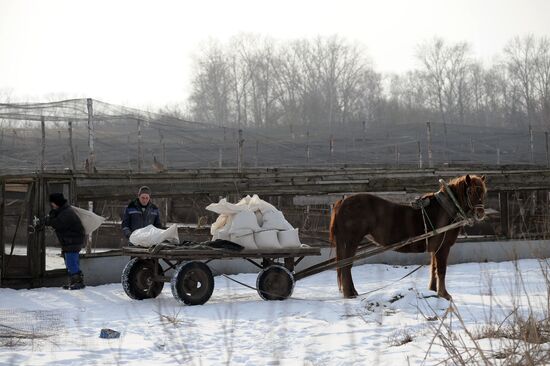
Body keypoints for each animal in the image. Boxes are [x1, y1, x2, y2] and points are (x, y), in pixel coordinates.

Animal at [328, 175, 488, 300]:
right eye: (471, 191)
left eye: (484, 191)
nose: (480, 213)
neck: (446, 209)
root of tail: (342, 202)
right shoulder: (443, 247)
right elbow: (441, 270)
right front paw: (444, 294)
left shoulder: (435, 248)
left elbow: (434, 268)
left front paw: (433, 289)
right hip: (350, 242)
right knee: (346, 266)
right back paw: (350, 293)